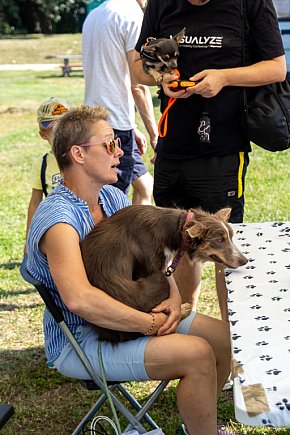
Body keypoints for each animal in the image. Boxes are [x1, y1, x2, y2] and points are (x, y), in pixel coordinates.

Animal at [81, 205, 247, 344]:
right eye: (219, 240)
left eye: (231, 237)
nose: (245, 260)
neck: (177, 229)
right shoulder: (153, 265)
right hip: (159, 281)